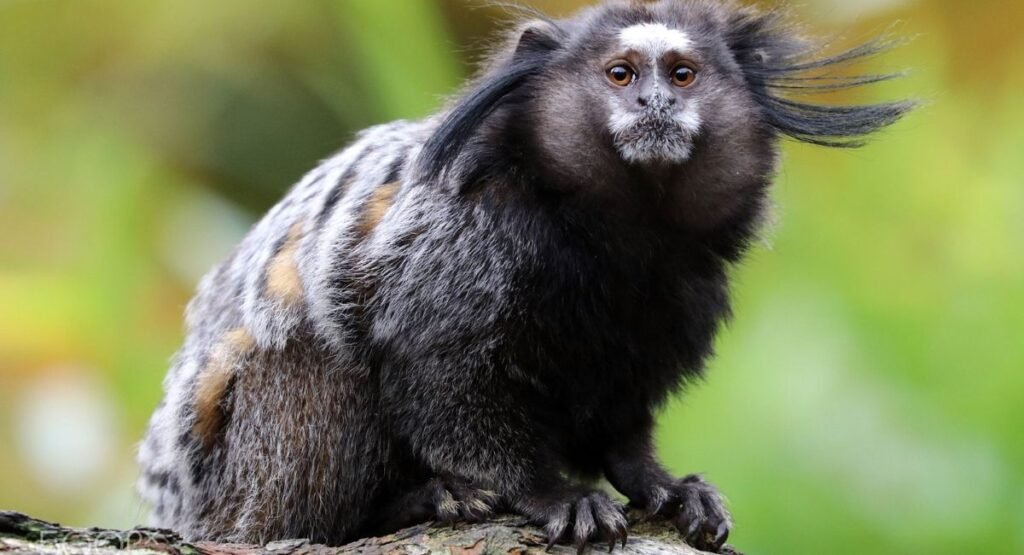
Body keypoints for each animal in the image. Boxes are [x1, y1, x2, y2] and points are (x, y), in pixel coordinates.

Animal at [136, 0, 913, 552]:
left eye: (682, 75)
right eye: (621, 74)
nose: (654, 105)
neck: (615, 232)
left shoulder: (680, 290)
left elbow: (623, 412)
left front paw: (659, 484)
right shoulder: (465, 248)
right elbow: (443, 379)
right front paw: (548, 493)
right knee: (316, 375)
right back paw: (412, 502)